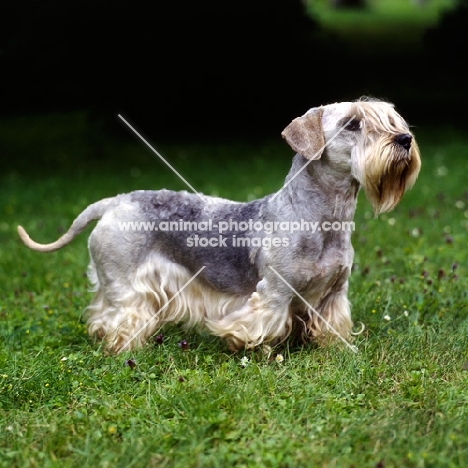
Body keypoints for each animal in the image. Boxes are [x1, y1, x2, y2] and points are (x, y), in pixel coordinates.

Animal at [17, 99, 420, 354]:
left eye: (391, 118)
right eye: (353, 123)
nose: (405, 139)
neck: (323, 218)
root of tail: (114, 201)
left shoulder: (334, 295)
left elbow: (334, 328)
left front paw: (338, 350)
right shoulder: (274, 294)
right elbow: (256, 324)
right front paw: (245, 345)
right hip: (125, 285)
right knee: (116, 319)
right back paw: (122, 349)